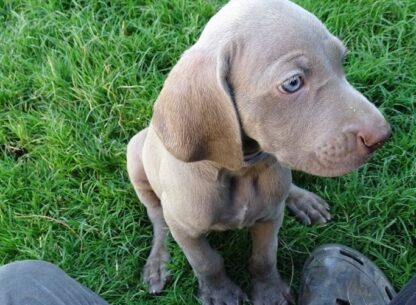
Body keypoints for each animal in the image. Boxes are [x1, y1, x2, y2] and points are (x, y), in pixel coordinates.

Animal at [126, 1, 390, 302]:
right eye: (292, 83)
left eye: (341, 60)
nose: (383, 135)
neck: (241, 170)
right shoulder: (185, 229)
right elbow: (206, 262)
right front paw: (220, 294)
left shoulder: (270, 217)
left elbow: (264, 257)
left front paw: (269, 293)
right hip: (135, 156)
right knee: (157, 217)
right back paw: (158, 263)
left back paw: (303, 200)